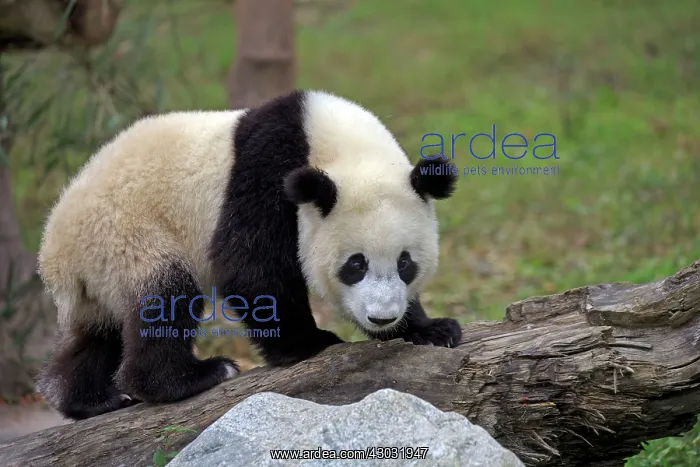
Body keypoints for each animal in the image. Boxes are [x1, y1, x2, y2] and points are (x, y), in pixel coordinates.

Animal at [35, 89, 461, 420]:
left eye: (405, 264)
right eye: (355, 265)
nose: (382, 317)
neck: (342, 147)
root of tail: (55, 251)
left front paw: (429, 329)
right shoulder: (269, 167)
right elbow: (248, 264)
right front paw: (309, 343)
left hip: (98, 270)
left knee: (96, 333)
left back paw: (91, 400)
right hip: (129, 232)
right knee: (165, 296)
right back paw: (188, 377)